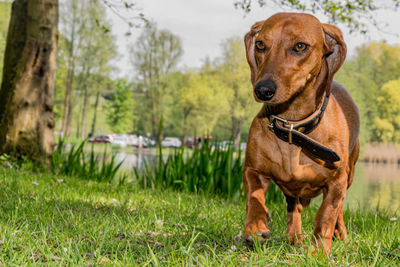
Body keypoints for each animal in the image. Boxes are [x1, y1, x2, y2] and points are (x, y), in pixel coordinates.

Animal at [242, 13, 360, 255]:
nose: (263, 90)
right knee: (293, 207)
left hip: (350, 173)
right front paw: (255, 226)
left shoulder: (337, 181)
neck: (293, 127)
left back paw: (340, 233)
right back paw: (294, 235)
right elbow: (255, 196)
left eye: (299, 46)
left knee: (339, 210)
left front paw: (320, 250)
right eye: (260, 44)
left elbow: (326, 215)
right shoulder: (252, 169)